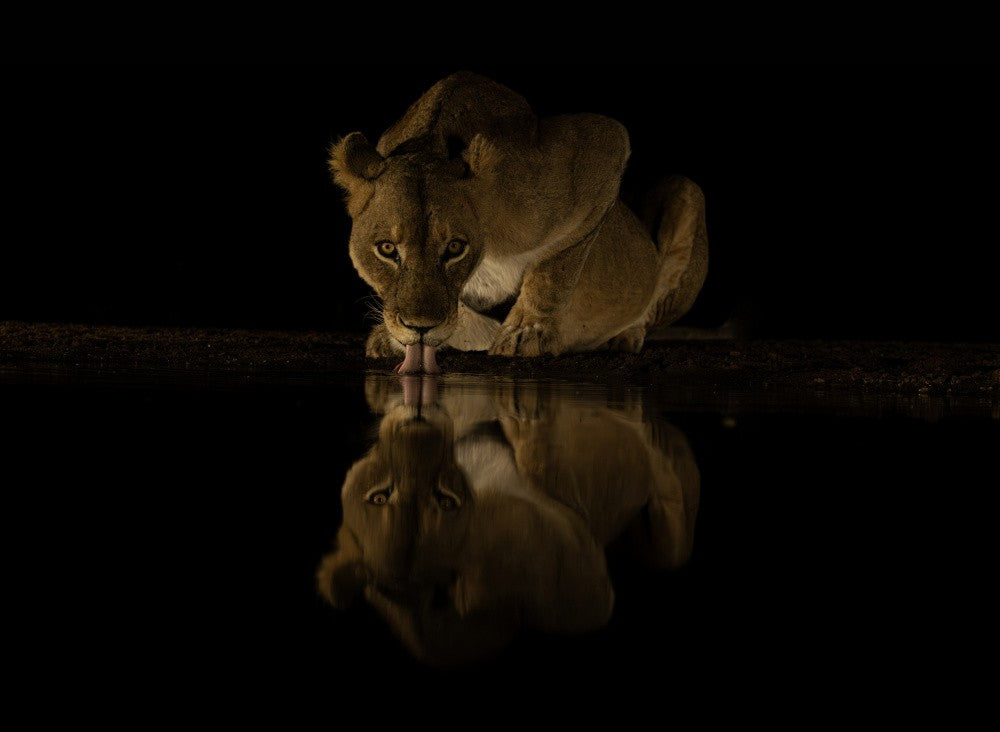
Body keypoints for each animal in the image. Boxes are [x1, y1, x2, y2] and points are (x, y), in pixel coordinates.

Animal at [329, 72, 708, 373]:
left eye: (455, 247)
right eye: (386, 249)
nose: (420, 328)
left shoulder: (599, 148)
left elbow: (555, 266)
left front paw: (527, 332)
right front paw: (394, 336)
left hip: (687, 191)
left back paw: (625, 336)